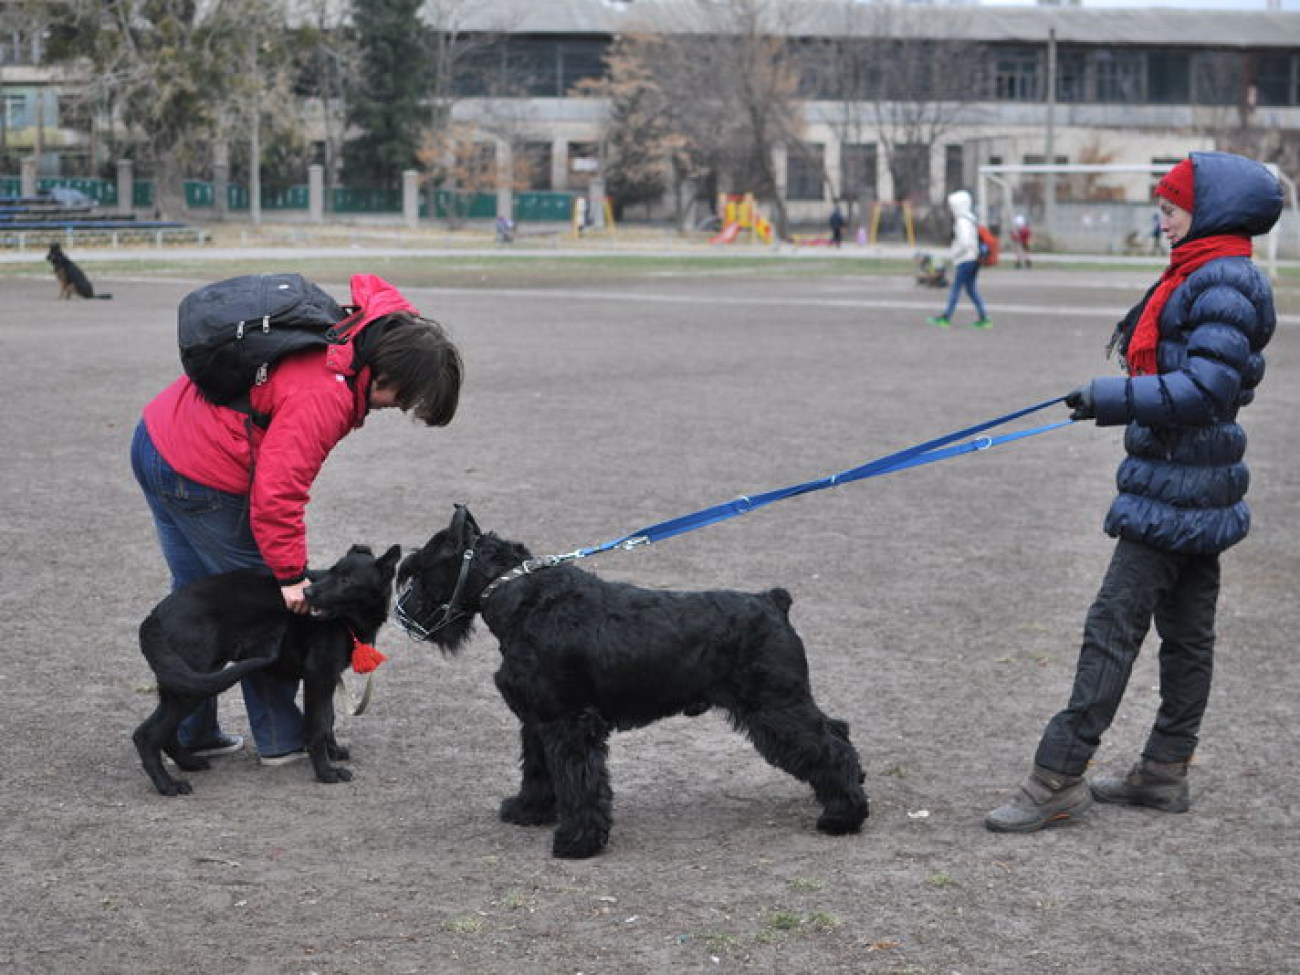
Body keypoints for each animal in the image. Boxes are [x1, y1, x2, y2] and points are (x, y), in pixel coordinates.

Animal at [132, 546, 397, 795]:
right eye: (333, 572)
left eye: (345, 580)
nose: (306, 593)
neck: (347, 618)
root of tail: (154, 616)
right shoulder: (319, 675)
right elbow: (318, 725)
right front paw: (326, 772)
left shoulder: (328, 677)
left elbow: (328, 718)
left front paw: (333, 752)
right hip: (193, 687)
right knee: (146, 735)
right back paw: (167, 786)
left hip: (190, 683)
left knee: (165, 731)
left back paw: (188, 763)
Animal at [395, 506, 863, 857]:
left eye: (417, 569)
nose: (403, 613)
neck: (524, 599)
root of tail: (773, 601)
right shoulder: (537, 719)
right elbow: (538, 769)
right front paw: (528, 811)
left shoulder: (569, 723)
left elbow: (580, 782)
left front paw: (576, 842)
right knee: (837, 730)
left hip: (776, 707)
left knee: (830, 747)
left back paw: (843, 816)